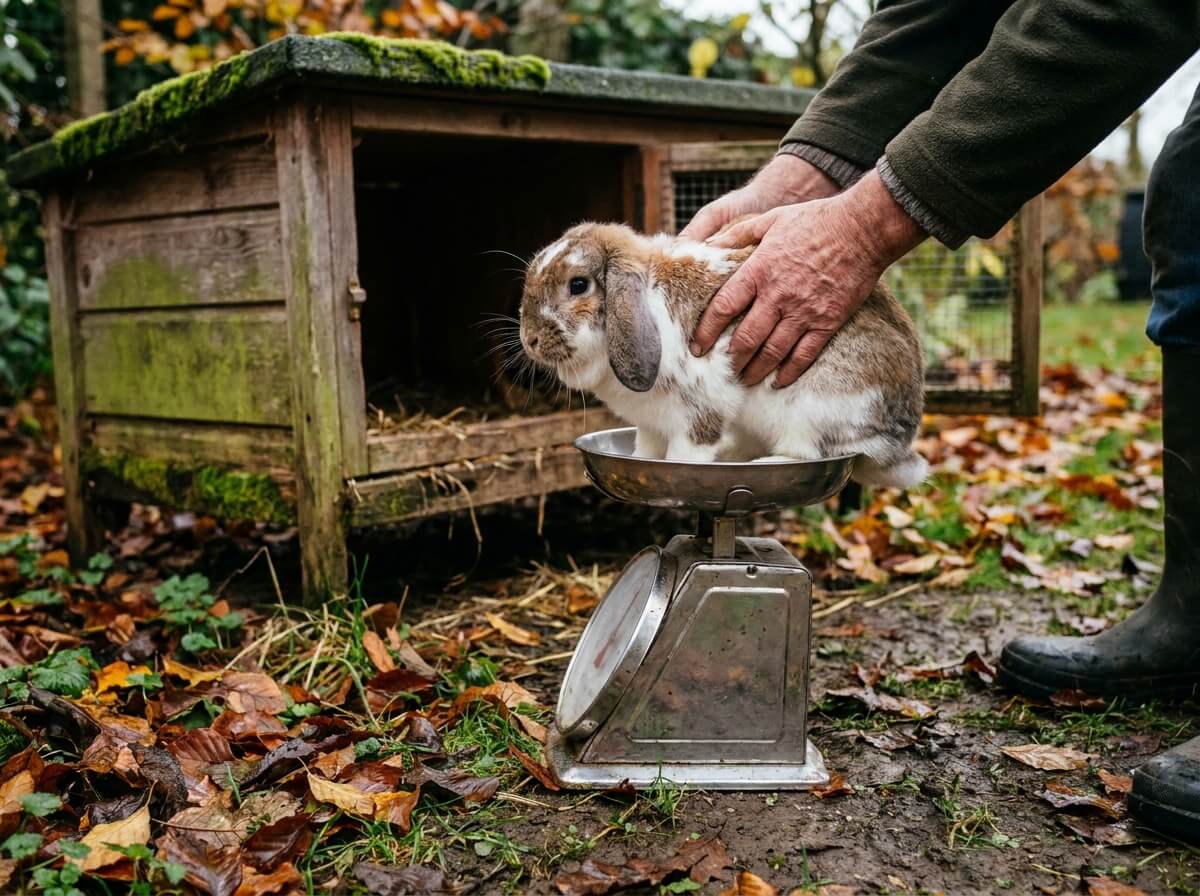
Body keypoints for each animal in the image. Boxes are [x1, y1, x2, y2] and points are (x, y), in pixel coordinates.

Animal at [518, 221, 928, 488]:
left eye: (578, 285)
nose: (529, 340)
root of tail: (897, 442)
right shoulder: (650, 425)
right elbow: (646, 450)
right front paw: (642, 464)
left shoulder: (698, 412)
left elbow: (686, 455)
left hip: (810, 408)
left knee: (807, 451)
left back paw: (768, 461)